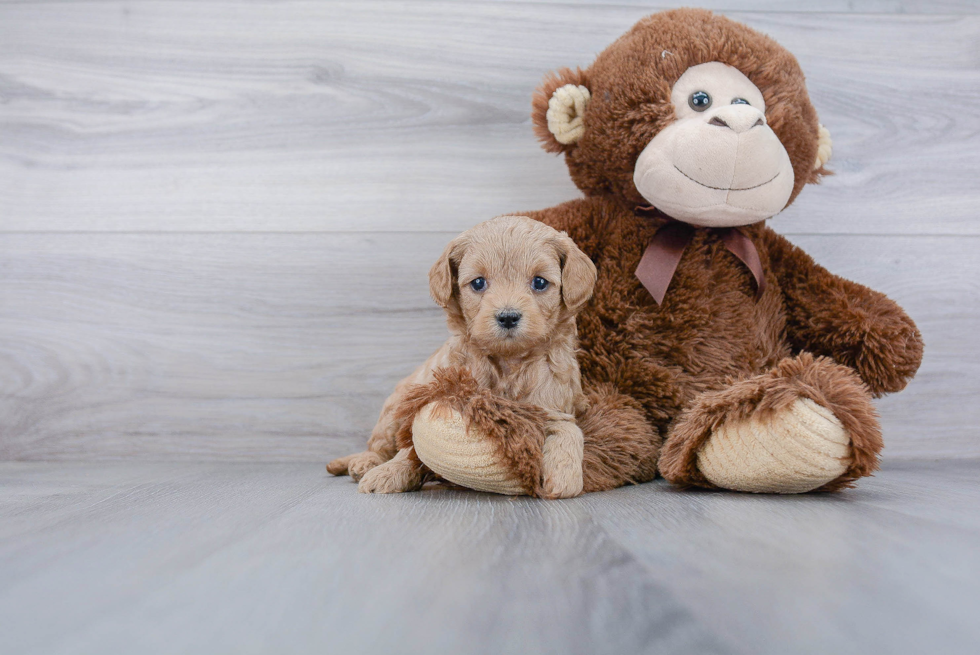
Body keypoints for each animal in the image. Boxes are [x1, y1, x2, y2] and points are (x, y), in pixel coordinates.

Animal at [328, 215, 596, 498]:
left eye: (540, 282)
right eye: (478, 283)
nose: (508, 317)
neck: (508, 361)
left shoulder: (553, 405)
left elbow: (568, 431)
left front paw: (564, 477)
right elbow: (410, 448)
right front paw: (390, 472)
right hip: (394, 410)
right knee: (380, 444)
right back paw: (365, 462)